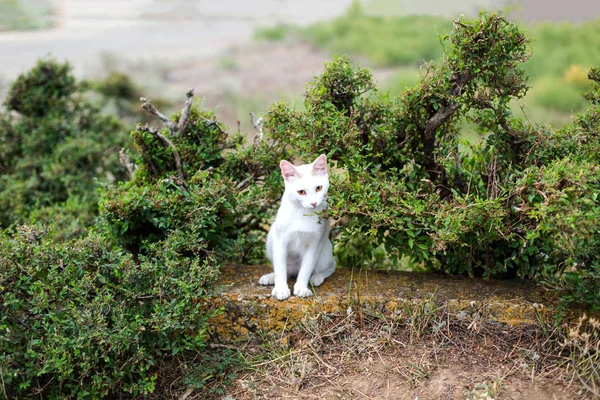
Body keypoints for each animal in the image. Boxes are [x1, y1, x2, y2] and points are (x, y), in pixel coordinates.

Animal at [256, 155, 336, 298]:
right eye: (301, 192)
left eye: (319, 188)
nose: (314, 203)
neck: (302, 212)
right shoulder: (280, 240)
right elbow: (280, 268)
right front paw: (281, 288)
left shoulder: (315, 243)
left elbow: (306, 268)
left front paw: (301, 288)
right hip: (271, 238)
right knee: (285, 270)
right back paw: (270, 277)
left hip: (325, 250)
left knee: (331, 266)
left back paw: (317, 277)